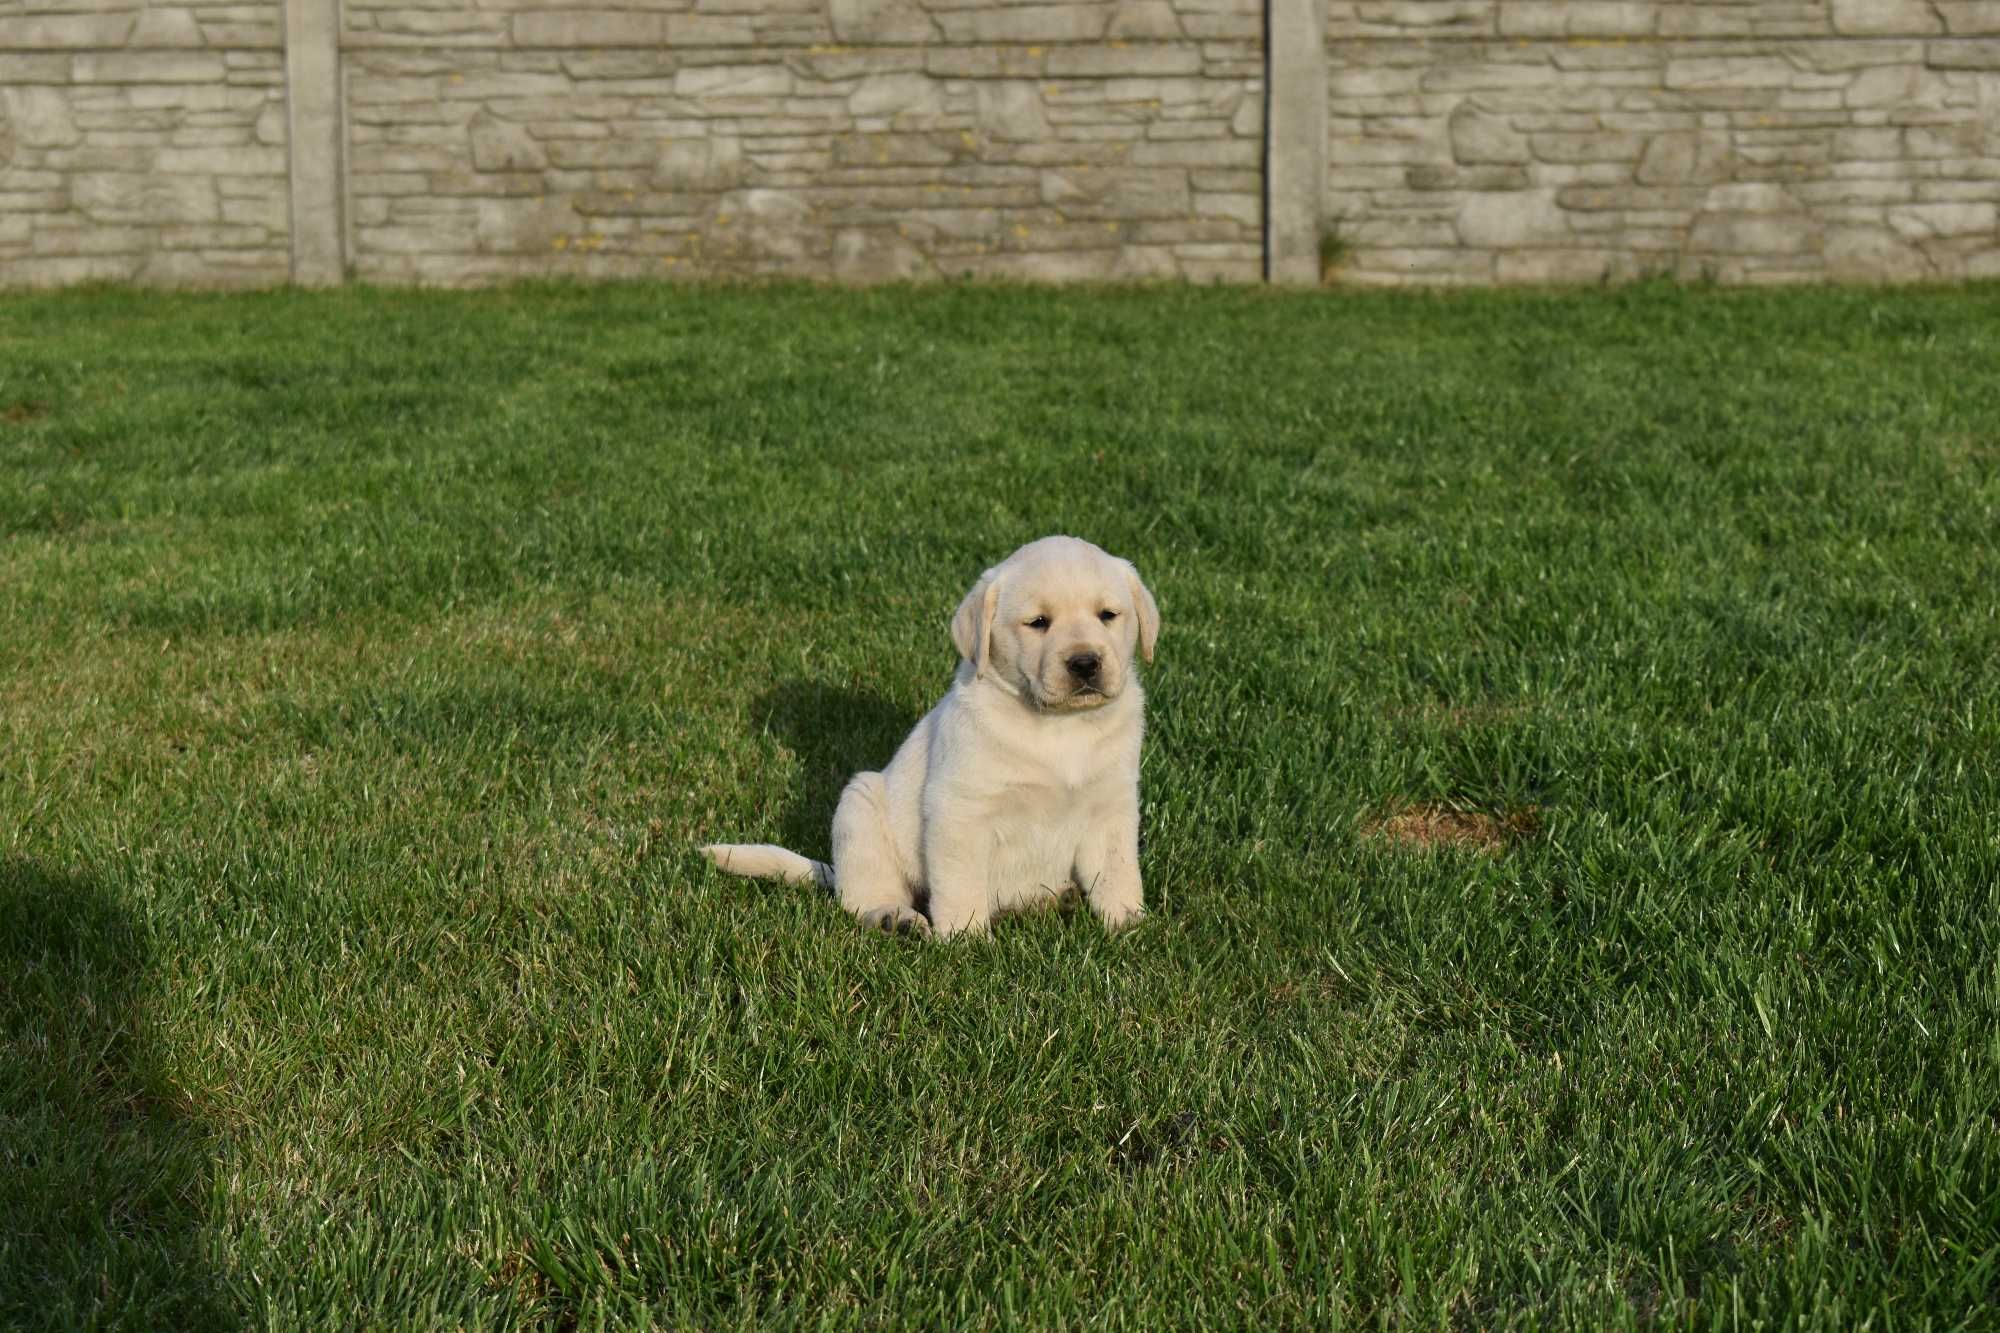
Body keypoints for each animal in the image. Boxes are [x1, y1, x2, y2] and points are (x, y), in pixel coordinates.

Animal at [712, 528, 1168, 932]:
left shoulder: (1111, 805)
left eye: (1108, 615)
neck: (1058, 725)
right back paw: (893, 919)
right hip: (859, 808)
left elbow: (1117, 871)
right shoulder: (960, 809)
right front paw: (966, 939)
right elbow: (960, 883)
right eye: (1038, 622)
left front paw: (1127, 924)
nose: (1085, 663)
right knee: (861, 896)